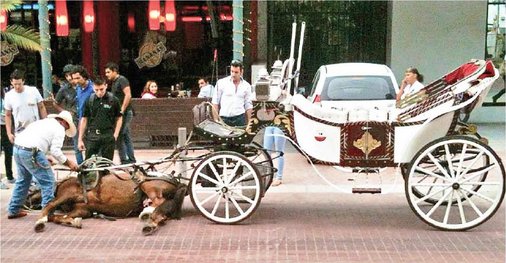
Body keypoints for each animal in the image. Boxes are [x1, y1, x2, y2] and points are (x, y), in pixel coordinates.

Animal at [33, 168, 188, 236]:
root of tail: (176, 181)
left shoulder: (67, 193)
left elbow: (50, 206)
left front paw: (40, 221)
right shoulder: (83, 210)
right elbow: (60, 217)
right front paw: (74, 221)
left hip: (147, 184)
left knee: (159, 200)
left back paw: (147, 213)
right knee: (162, 212)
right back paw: (151, 219)